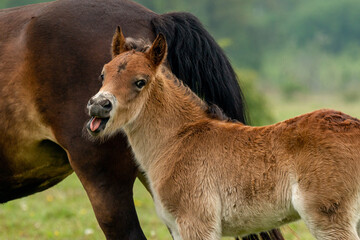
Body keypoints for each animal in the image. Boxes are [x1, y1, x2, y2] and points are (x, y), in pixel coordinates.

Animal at [86, 30, 360, 240]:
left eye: (140, 81)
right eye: (103, 74)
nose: (98, 105)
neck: (178, 140)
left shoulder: (196, 222)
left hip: (329, 219)